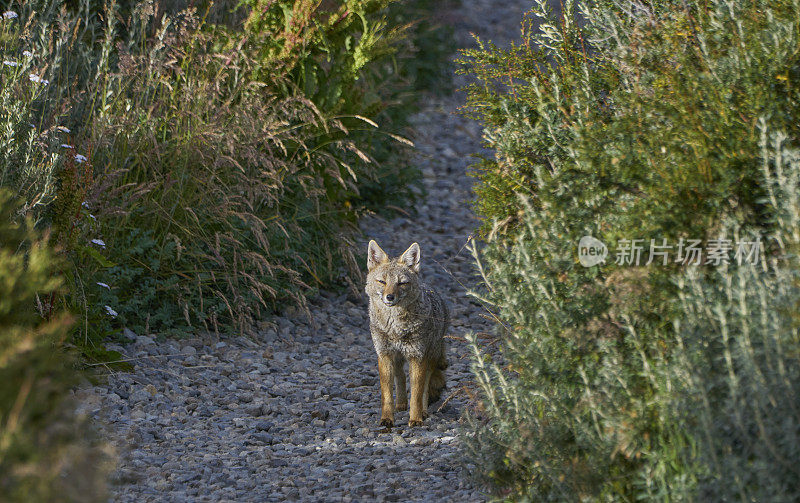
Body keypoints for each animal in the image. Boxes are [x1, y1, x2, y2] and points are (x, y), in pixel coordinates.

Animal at [366, 240, 446, 426]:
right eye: (382, 281)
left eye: (401, 283)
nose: (389, 297)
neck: (395, 327)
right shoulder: (384, 355)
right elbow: (387, 394)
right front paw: (387, 418)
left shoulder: (417, 356)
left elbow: (417, 393)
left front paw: (416, 418)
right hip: (397, 358)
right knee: (400, 376)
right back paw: (401, 403)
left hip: (429, 358)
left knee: (425, 386)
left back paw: (423, 411)